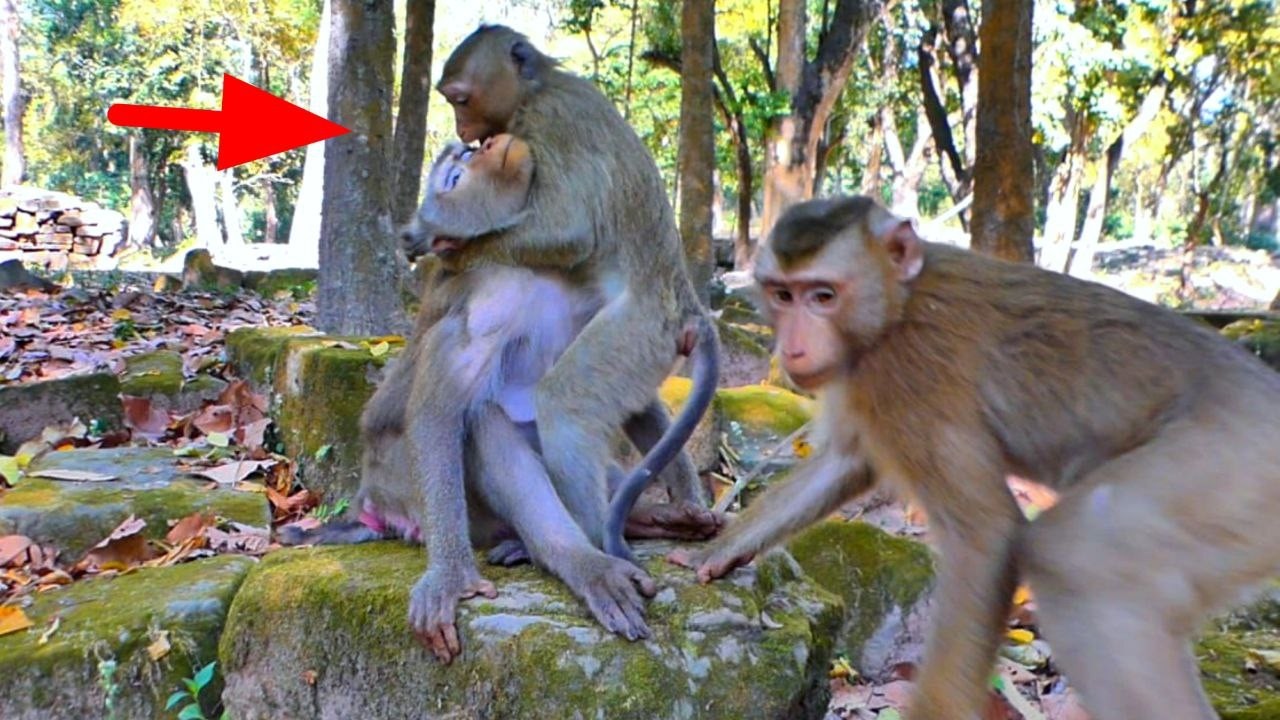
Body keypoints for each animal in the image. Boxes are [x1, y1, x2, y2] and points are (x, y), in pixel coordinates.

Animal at [286, 134, 721, 661]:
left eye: (465, 157)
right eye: (455, 175)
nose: (472, 145)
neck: (535, 270)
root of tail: (371, 500)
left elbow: (623, 393)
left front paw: (687, 496)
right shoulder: (489, 298)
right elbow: (439, 410)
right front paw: (451, 577)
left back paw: (654, 521)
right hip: (413, 486)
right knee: (481, 422)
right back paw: (576, 559)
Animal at [668, 195, 1280, 720]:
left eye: (823, 296)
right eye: (782, 294)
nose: (792, 348)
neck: (896, 303)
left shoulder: (909, 373)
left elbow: (985, 533)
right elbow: (845, 462)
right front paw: (723, 547)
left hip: (1232, 467)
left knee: (1080, 557)